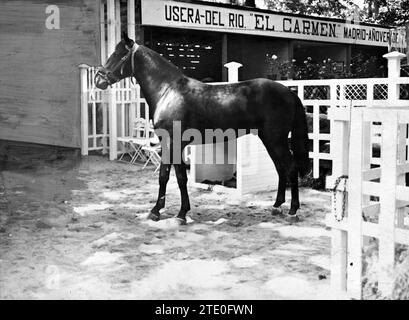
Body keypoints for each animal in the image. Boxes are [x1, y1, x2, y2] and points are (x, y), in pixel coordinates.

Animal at [95, 31, 310, 224]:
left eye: (118, 54)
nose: (99, 80)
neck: (167, 90)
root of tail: (289, 92)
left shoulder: (174, 143)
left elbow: (177, 177)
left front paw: (179, 214)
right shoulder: (169, 144)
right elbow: (168, 176)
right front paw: (160, 211)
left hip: (276, 139)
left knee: (290, 168)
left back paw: (292, 211)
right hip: (269, 139)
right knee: (281, 168)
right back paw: (277, 206)